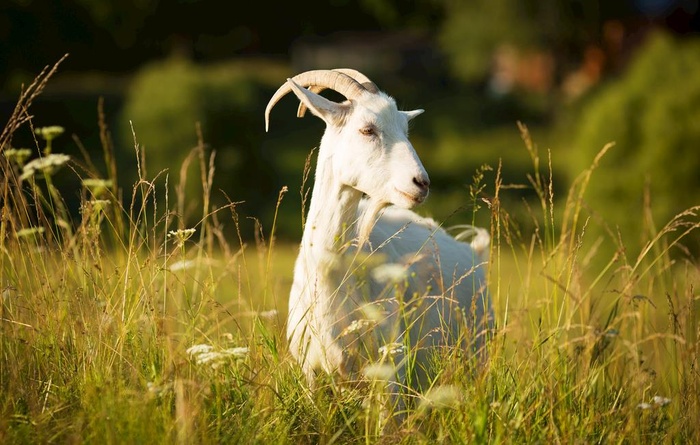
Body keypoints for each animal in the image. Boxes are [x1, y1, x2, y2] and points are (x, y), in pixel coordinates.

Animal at [264, 69, 492, 396]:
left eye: (405, 129)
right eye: (367, 129)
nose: (421, 183)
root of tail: (475, 252)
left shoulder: (391, 373)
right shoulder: (311, 372)